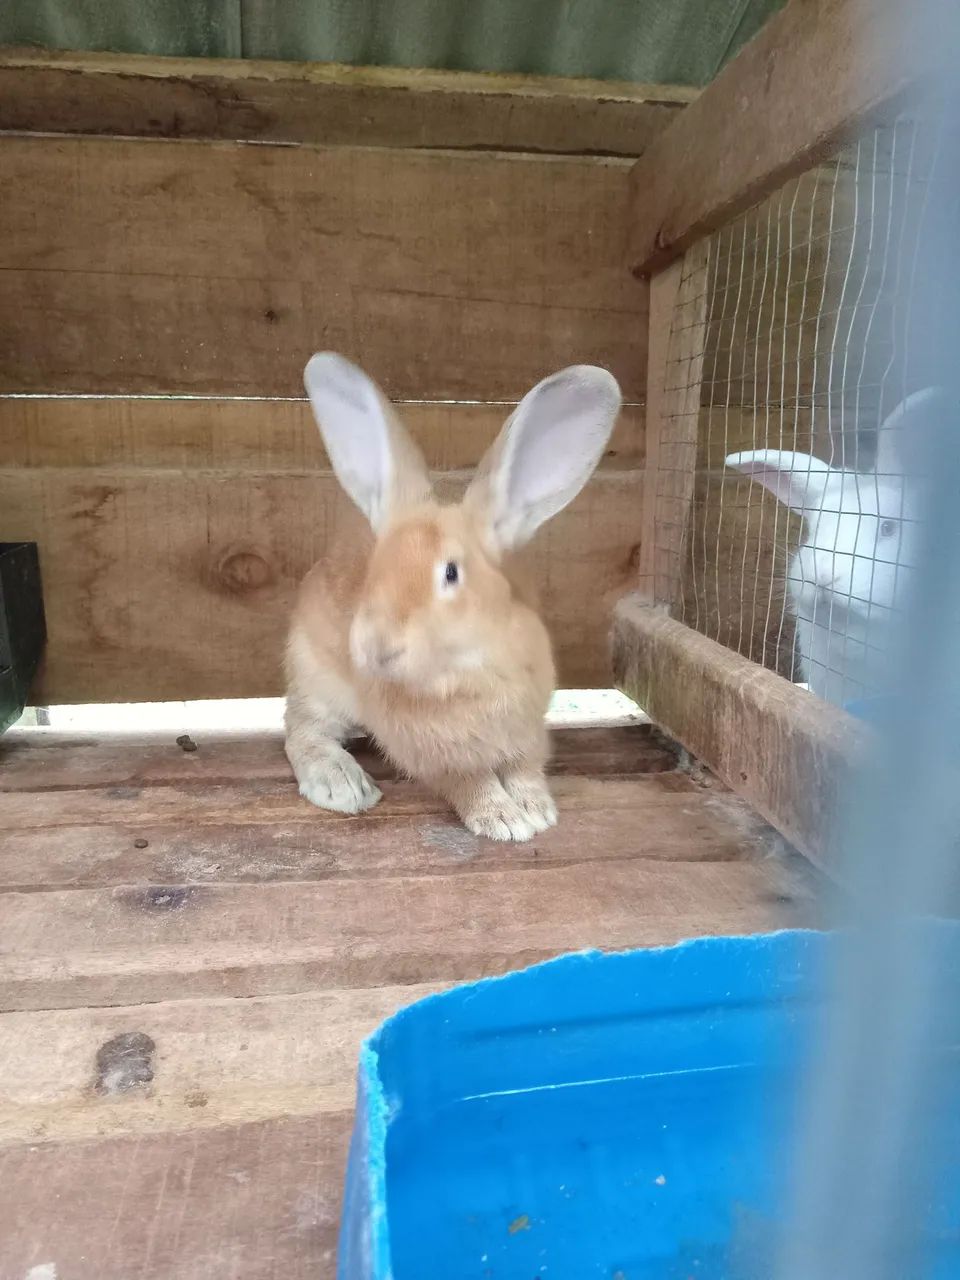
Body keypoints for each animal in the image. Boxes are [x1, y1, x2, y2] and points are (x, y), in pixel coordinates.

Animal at [284, 352, 622, 841]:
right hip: (314, 674)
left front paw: (537, 810)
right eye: (373, 573)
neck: (465, 670)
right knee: (302, 729)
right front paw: (504, 820)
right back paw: (343, 785)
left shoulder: (529, 733)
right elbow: (469, 781)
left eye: (450, 573)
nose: (376, 648)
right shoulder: (437, 756)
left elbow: (526, 768)